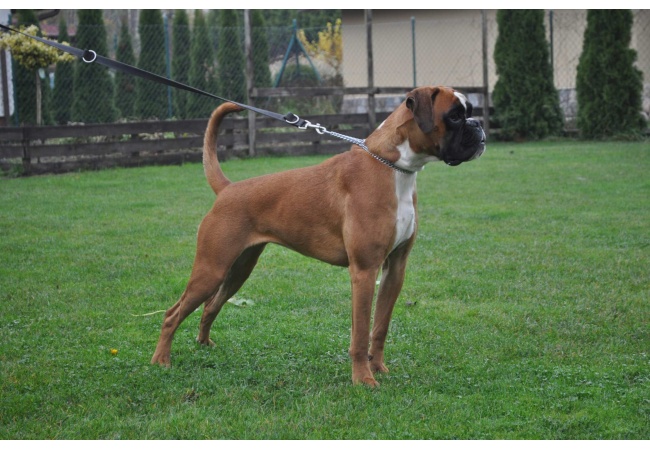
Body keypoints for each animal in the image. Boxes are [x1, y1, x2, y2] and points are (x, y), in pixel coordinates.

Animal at [151, 86, 486, 387]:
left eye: (468, 112)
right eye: (454, 116)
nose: (478, 123)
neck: (393, 167)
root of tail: (228, 189)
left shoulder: (395, 269)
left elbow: (380, 327)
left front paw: (378, 368)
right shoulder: (364, 271)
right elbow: (360, 333)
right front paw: (363, 379)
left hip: (237, 270)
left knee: (210, 306)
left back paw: (204, 344)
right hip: (211, 268)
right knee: (172, 313)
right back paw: (161, 361)